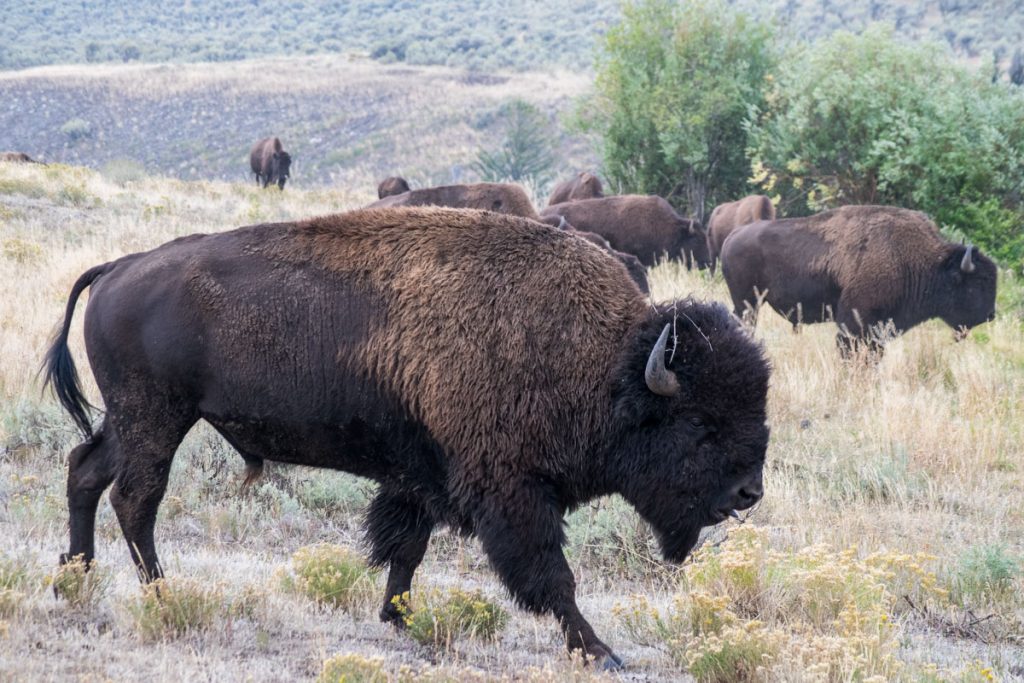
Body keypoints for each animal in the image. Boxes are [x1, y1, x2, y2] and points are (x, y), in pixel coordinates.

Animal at [46, 205, 770, 671]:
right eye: (700, 423)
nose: (748, 492)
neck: (603, 362)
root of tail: (120, 267)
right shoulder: (509, 491)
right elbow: (551, 577)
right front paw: (601, 651)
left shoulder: (423, 475)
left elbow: (406, 550)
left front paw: (400, 618)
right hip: (157, 417)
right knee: (136, 498)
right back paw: (161, 593)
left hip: (131, 418)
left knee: (86, 470)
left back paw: (73, 576)